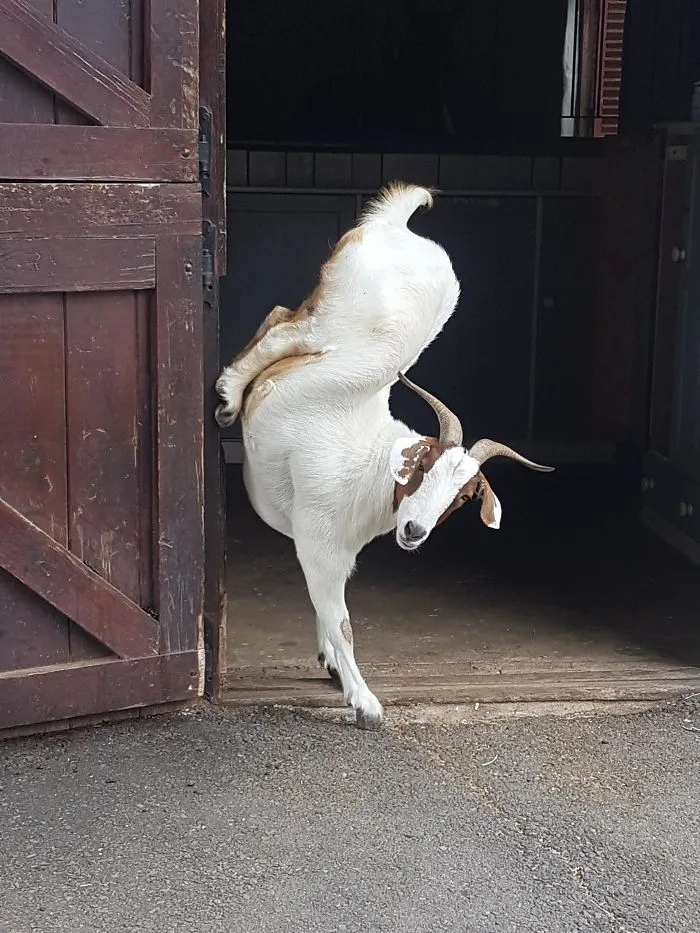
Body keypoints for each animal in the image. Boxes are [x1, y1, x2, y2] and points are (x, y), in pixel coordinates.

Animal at [215, 182, 553, 729]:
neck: (371, 465)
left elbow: (327, 613)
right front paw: (366, 703)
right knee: (282, 323)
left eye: (464, 497)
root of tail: (398, 221)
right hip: (332, 319)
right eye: (422, 467)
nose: (414, 531)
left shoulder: (324, 554)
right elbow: (343, 623)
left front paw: (332, 667)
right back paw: (227, 398)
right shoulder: (322, 548)